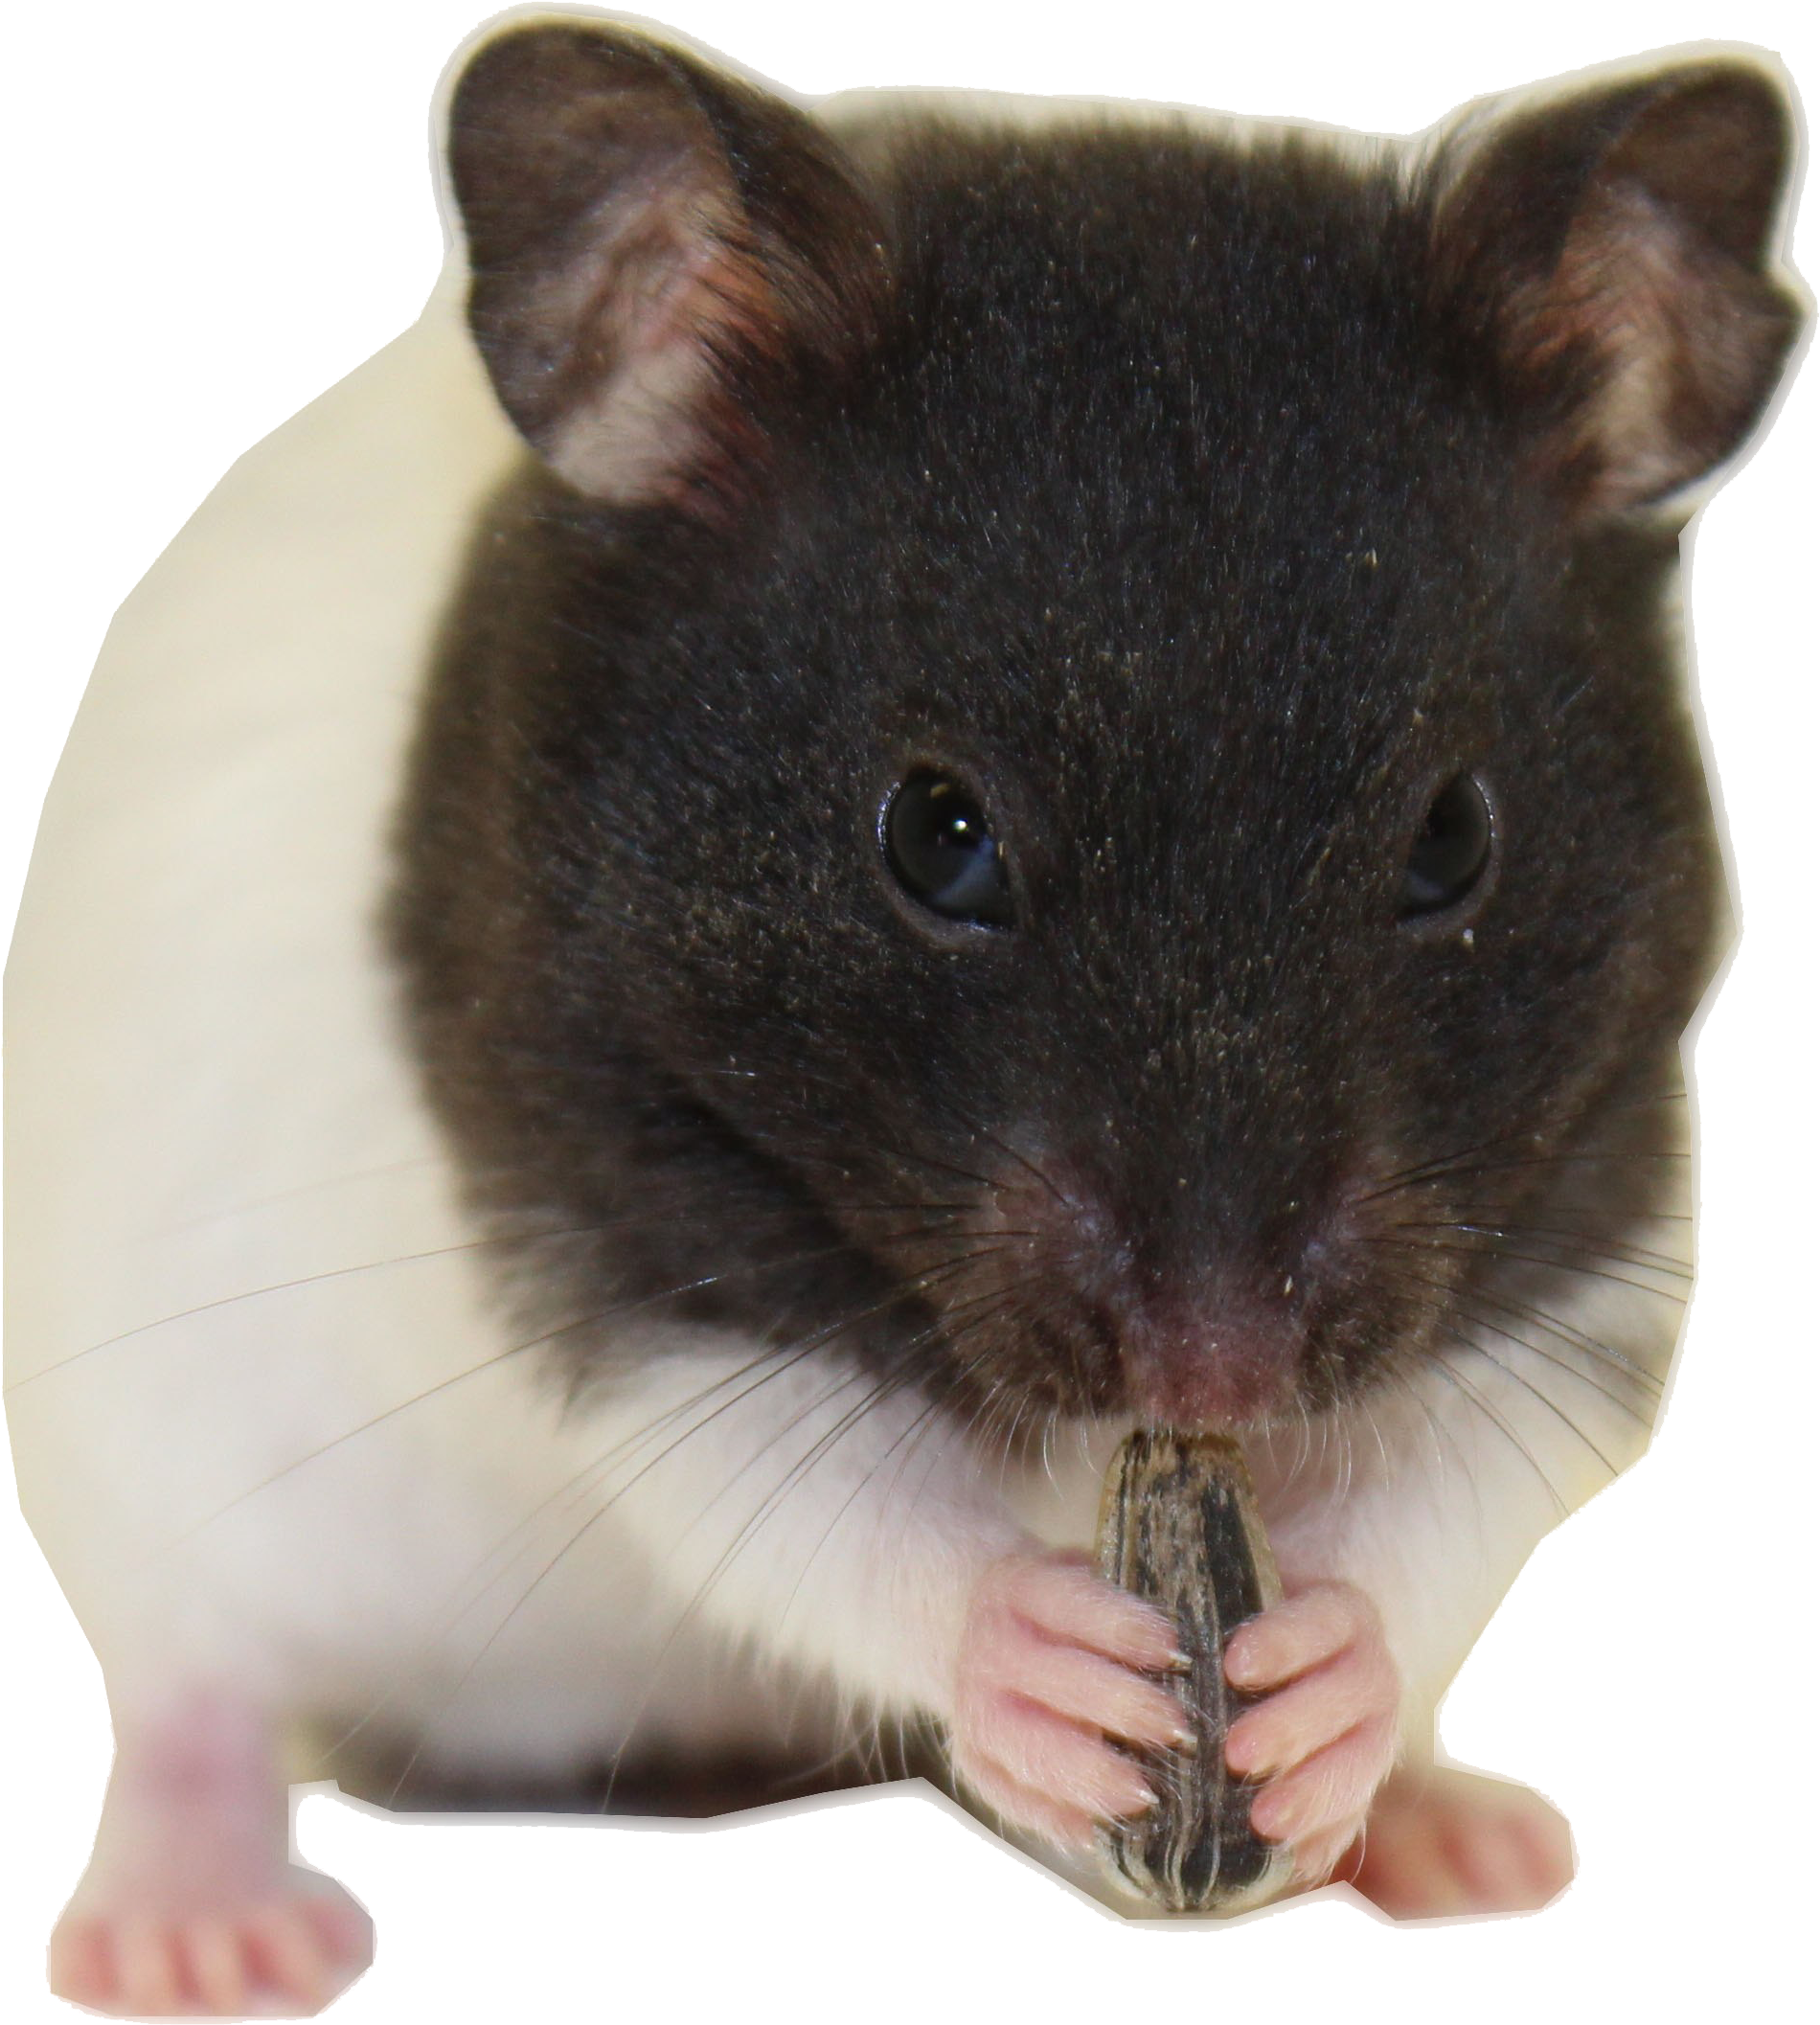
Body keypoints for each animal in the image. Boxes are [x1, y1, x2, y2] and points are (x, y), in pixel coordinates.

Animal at [8, 14, 1808, 2012]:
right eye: (935, 834)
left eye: (1455, 839)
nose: (1217, 1371)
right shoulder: (625, 1240)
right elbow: (823, 1493)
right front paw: (1071, 1676)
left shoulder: (1589, 1213)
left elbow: (1457, 1485)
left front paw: (1313, 1691)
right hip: (132, 1458)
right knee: (183, 1689)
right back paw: (206, 1942)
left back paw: (1457, 1833)